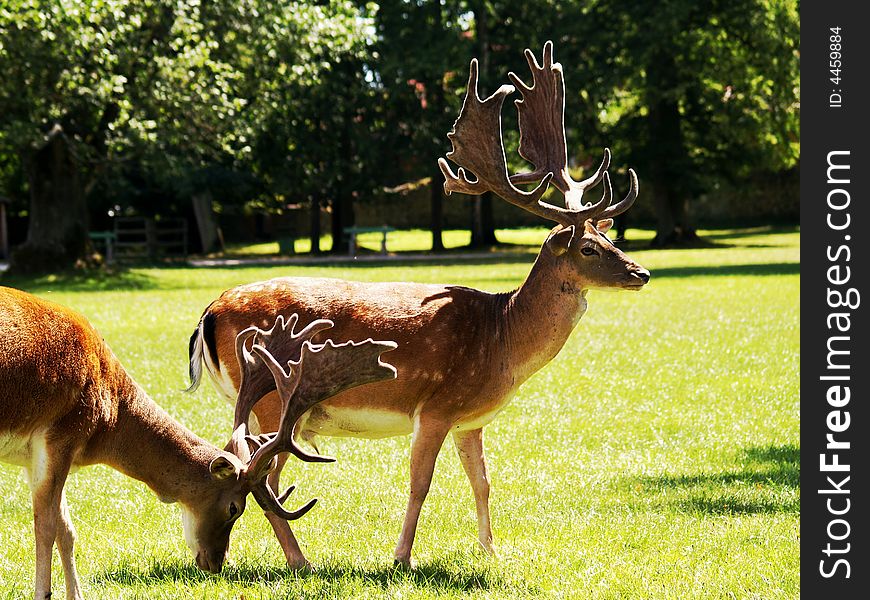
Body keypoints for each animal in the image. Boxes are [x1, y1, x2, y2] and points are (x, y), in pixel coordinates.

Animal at [0, 288, 396, 600]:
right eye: (236, 507)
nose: (216, 563)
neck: (107, 416)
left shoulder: (36, 455)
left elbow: (66, 528)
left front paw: (76, 595)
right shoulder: (58, 434)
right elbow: (46, 526)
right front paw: (42, 593)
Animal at [189, 42, 656, 568]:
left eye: (611, 236)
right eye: (589, 248)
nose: (641, 273)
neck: (502, 339)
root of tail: (209, 313)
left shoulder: (471, 419)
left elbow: (483, 481)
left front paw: (492, 553)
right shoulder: (435, 404)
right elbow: (420, 483)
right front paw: (402, 558)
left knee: (237, 464)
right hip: (274, 400)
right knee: (262, 476)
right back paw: (299, 560)